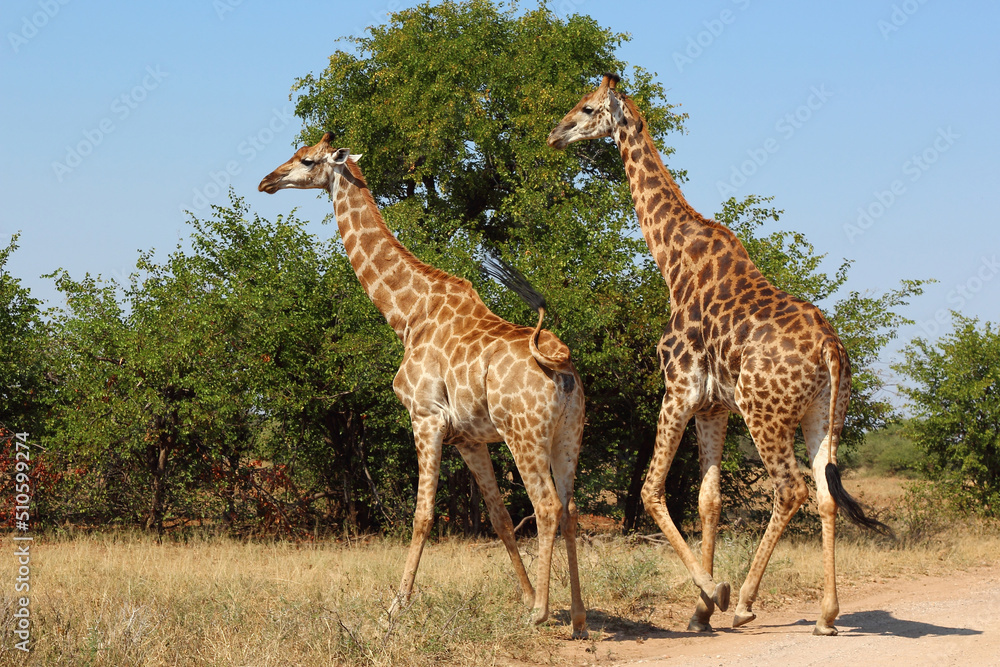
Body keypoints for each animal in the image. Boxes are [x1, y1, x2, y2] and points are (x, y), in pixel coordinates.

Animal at [259, 133, 587, 638]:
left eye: (307, 161)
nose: (267, 181)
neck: (406, 315)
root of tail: (562, 364)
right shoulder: (469, 438)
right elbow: (498, 516)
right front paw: (526, 594)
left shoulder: (426, 418)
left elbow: (422, 515)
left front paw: (393, 610)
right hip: (567, 435)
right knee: (569, 509)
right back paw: (578, 617)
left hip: (524, 433)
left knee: (548, 506)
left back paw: (542, 615)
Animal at [547, 74, 888, 636]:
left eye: (588, 108)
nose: (556, 134)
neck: (672, 260)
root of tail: (831, 348)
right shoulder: (713, 407)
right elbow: (709, 500)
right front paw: (699, 613)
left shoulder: (679, 389)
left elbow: (651, 489)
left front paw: (715, 594)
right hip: (824, 413)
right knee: (824, 493)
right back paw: (825, 614)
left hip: (765, 413)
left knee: (790, 490)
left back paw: (747, 601)